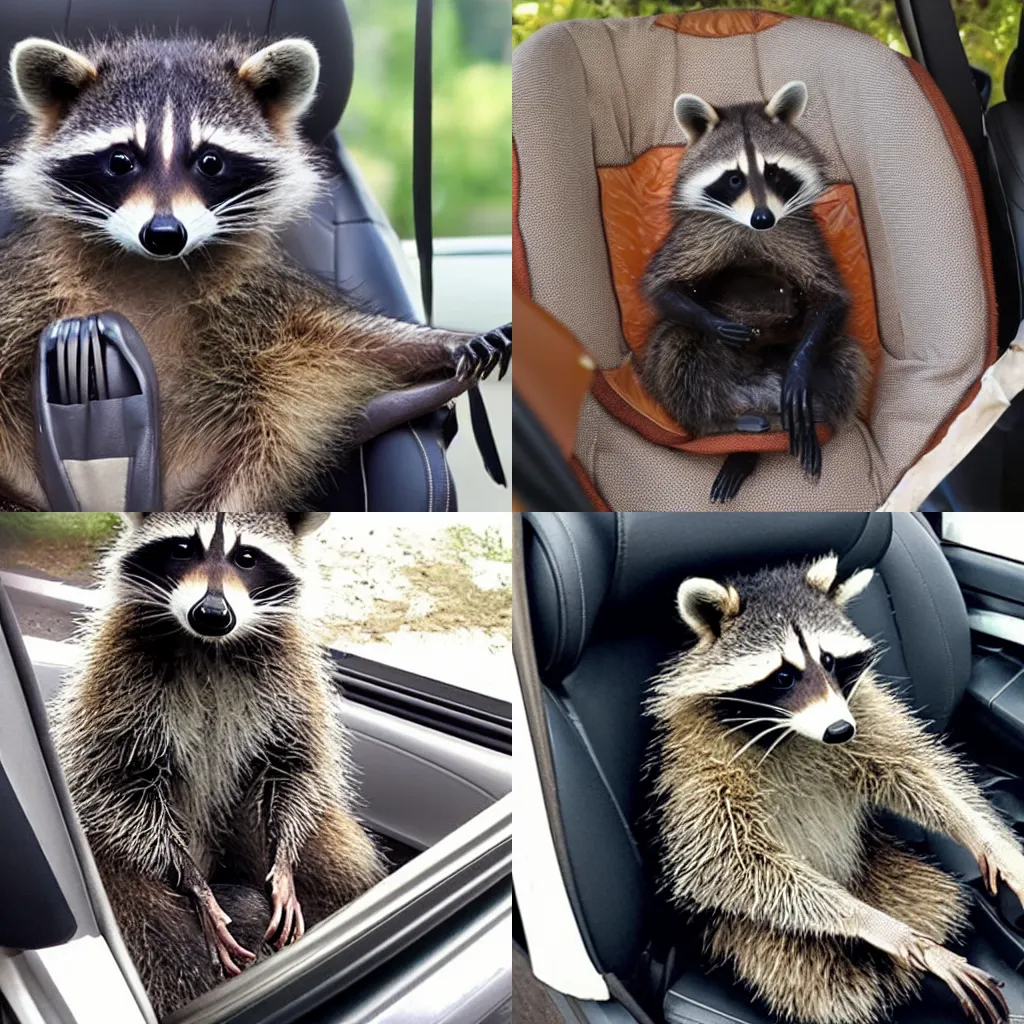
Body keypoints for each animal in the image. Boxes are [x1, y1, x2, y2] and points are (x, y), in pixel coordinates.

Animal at [0, 37, 509, 512]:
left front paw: (444, 341)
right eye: (121, 161)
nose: (164, 234)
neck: (152, 267)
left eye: (210, 161)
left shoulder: (261, 299)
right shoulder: (31, 283)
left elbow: (343, 339)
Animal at [49, 512, 382, 1015]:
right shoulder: (116, 680)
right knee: (148, 921)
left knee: (334, 852)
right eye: (182, 548)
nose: (211, 614)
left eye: (246, 557)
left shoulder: (293, 677)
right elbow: (115, 783)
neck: (209, 645)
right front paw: (194, 885)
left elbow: (295, 764)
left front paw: (284, 861)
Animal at [643, 82, 868, 503]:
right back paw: (721, 425)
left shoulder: (800, 234)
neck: (753, 228)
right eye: (734, 178)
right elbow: (662, 285)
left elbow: (829, 297)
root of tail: (758, 399)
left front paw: (799, 368)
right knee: (676, 346)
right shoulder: (698, 234)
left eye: (774, 172)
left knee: (845, 357)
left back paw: (808, 417)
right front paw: (715, 322)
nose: (763, 219)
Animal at [643, 557, 1019, 1024]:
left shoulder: (862, 711)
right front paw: (880, 926)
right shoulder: (694, 761)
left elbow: (909, 770)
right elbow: (725, 861)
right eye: (783, 676)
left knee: (938, 900)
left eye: (828, 659)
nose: (839, 730)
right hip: (760, 941)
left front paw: (984, 837)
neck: (786, 731)